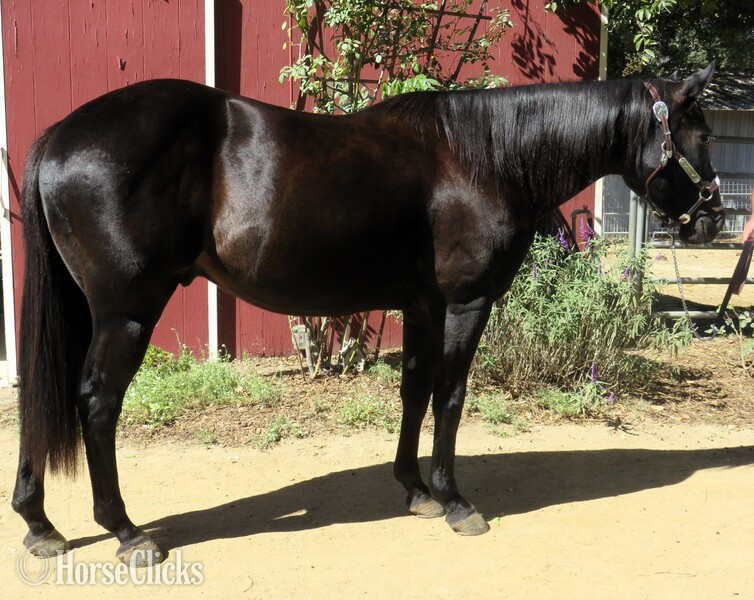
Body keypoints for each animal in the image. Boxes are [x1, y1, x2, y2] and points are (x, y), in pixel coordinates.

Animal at [12, 63, 724, 566]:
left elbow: (413, 390)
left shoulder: (422, 304)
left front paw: (415, 491)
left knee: (41, 397)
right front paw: (455, 500)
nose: (714, 220)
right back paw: (127, 532)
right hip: (126, 312)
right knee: (97, 402)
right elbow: (451, 394)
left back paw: (40, 524)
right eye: (703, 134)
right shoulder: (465, 303)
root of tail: (60, 137)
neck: (484, 157)